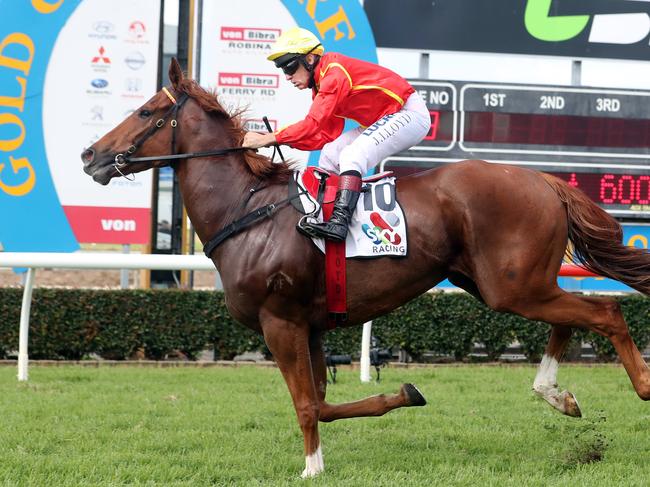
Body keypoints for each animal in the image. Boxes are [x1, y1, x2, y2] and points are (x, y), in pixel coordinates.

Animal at [81, 60, 648, 476]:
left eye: (146, 111)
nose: (90, 155)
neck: (245, 207)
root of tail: (546, 180)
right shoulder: (307, 325)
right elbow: (323, 402)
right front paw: (402, 394)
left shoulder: (279, 321)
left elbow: (307, 405)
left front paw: (311, 469)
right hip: (508, 284)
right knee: (573, 316)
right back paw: (558, 396)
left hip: (513, 287)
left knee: (606, 312)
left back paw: (639, 385)